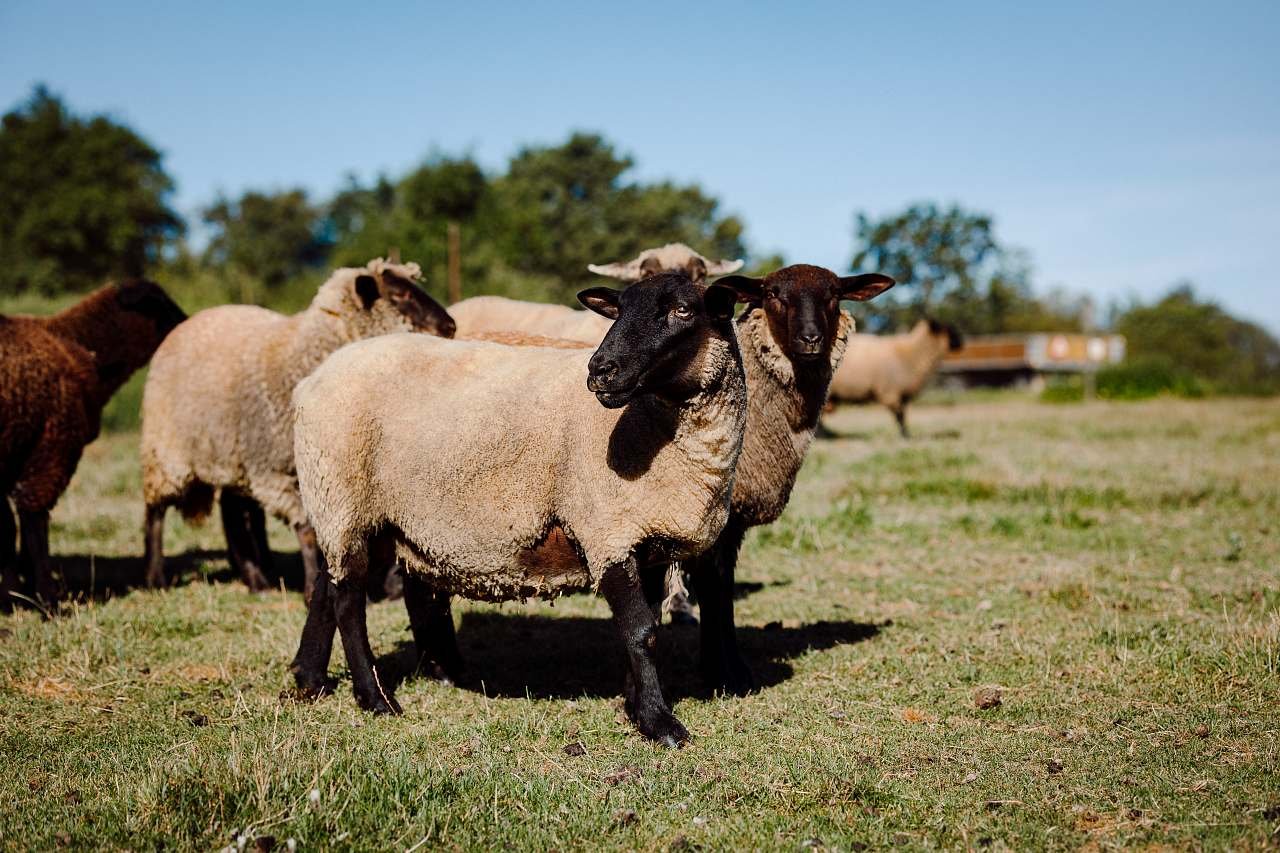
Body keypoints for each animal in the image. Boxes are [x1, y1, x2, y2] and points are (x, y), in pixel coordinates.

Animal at [0, 279, 186, 604]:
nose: (189, 323)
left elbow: (8, 531)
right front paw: (46, 599)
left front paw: (15, 592)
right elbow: (33, 525)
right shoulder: (50, 451)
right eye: (161, 303)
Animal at [140, 258, 455, 596]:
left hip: (234, 455)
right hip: (167, 450)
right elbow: (307, 530)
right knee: (156, 510)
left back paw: (258, 579)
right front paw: (311, 588)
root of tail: (189, 321)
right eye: (400, 295)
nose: (450, 327)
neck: (301, 355)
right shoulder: (279, 472)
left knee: (234, 511)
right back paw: (156, 577)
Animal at [288, 268, 747, 742]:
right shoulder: (608, 532)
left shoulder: (648, 539)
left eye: (683, 310)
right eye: (619, 310)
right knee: (348, 600)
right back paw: (374, 698)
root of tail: (312, 380)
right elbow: (639, 632)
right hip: (343, 495)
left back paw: (311, 677)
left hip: (360, 511)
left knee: (328, 584)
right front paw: (660, 723)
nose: (600, 370)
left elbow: (647, 629)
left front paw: (636, 707)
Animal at [829, 318, 962, 438]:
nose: (961, 341)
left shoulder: (902, 396)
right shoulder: (891, 393)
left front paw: (906, 434)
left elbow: (903, 416)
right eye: (949, 330)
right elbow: (899, 416)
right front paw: (904, 435)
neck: (912, 354)